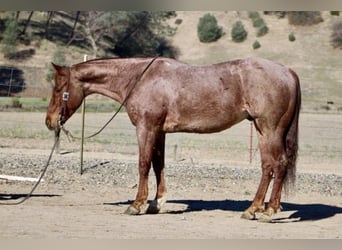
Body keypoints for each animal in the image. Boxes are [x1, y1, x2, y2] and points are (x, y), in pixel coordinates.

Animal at [46, 56, 302, 223]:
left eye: (58, 89)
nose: (49, 121)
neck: (139, 78)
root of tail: (288, 71)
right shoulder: (159, 131)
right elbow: (158, 164)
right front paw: (156, 203)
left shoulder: (146, 128)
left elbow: (143, 164)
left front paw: (136, 205)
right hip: (261, 130)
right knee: (268, 166)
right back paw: (255, 209)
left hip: (270, 129)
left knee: (278, 164)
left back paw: (268, 211)